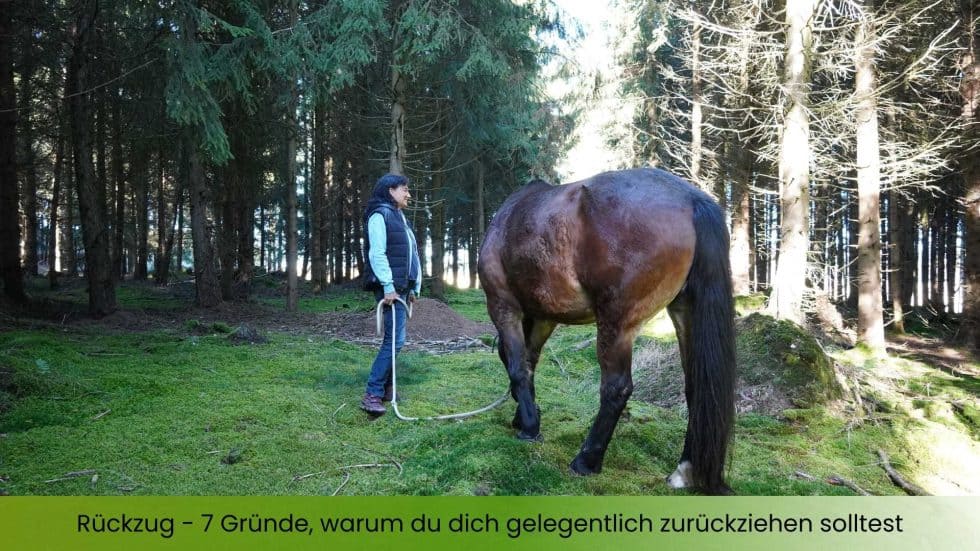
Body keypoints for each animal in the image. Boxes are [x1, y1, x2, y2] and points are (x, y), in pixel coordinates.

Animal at [478, 168, 740, 496]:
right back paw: (685, 471)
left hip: (616, 323)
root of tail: (692, 199)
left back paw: (586, 461)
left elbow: (516, 366)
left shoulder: (503, 305)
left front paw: (528, 427)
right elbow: (529, 363)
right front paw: (527, 416)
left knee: (616, 388)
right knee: (696, 387)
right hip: (684, 310)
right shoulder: (543, 317)